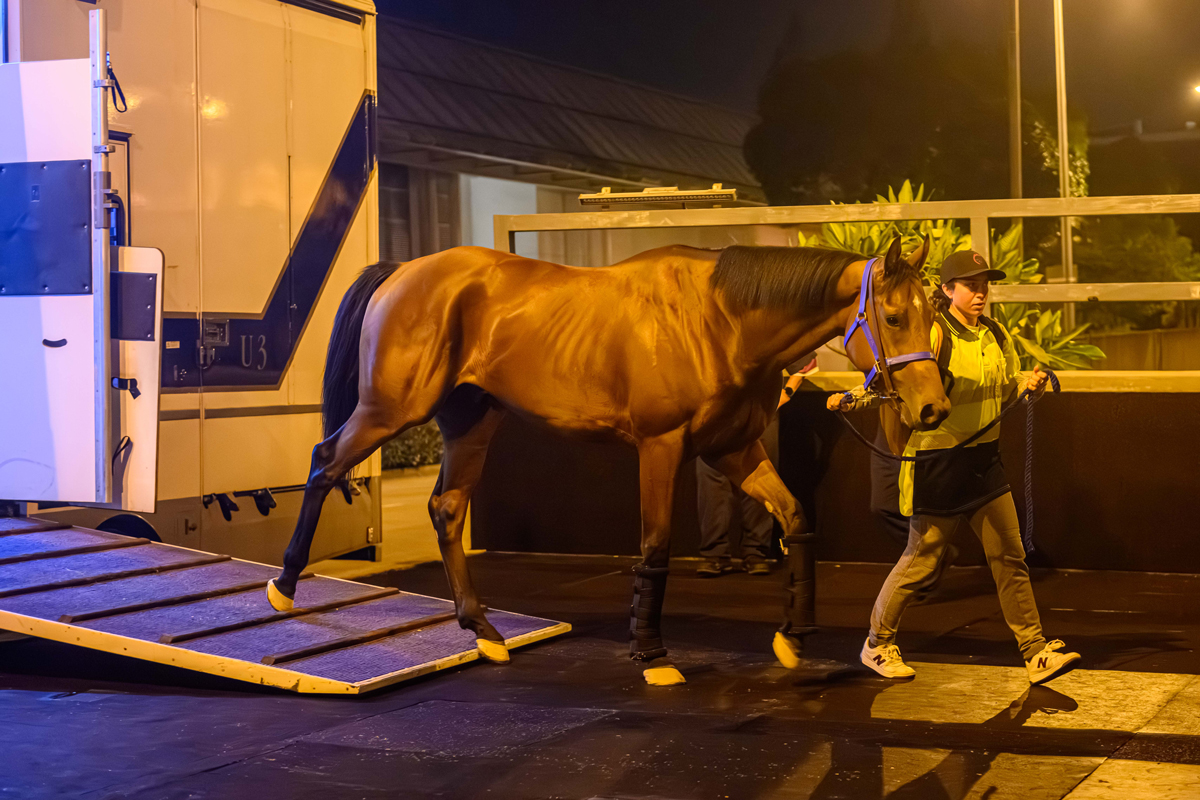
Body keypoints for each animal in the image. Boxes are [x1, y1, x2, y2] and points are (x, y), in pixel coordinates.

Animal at [267, 235, 950, 686]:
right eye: (893, 316)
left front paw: (793, 635)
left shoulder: (733, 449)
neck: (719, 320)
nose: (934, 409)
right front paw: (651, 654)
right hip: (390, 410)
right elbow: (654, 549)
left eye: (933, 314)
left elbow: (796, 520)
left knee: (448, 507)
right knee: (325, 462)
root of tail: (404, 271)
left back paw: (482, 630)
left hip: (470, 421)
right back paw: (283, 587)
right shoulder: (661, 447)